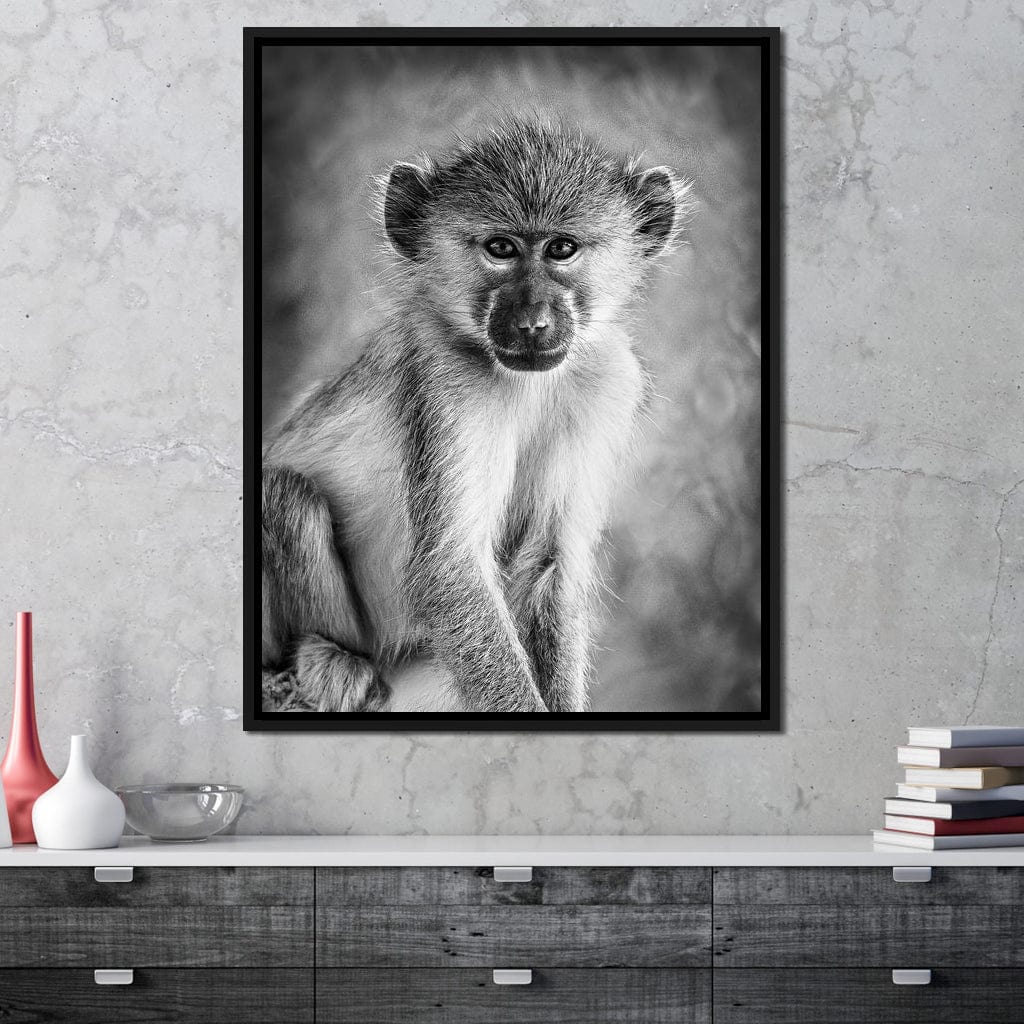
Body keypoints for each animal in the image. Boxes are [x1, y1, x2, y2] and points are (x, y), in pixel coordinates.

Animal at [261, 116, 693, 713]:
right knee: (285, 494)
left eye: (562, 248)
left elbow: (549, 562)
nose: (533, 322)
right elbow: (451, 570)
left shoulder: (609, 380)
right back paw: (327, 654)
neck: (530, 385)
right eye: (500, 248)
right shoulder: (449, 381)